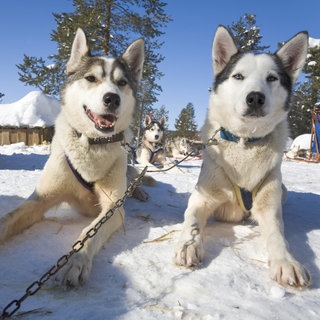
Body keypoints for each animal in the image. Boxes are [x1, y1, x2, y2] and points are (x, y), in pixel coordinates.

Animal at [0, 28, 144, 288]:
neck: (92, 146)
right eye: (91, 78)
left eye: (122, 83)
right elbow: (7, 219)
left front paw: (75, 260)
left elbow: (89, 233)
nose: (112, 98)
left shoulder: (113, 208)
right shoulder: (39, 199)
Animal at [174, 26, 312, 288]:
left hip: (282, 192)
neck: (245, 143)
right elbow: (192, 220)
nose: (255, 97)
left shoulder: (269, 207)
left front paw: (286, 261)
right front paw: (189, 244)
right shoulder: (202, 198)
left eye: (272, 78)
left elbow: (278, 235)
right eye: (238, 76)